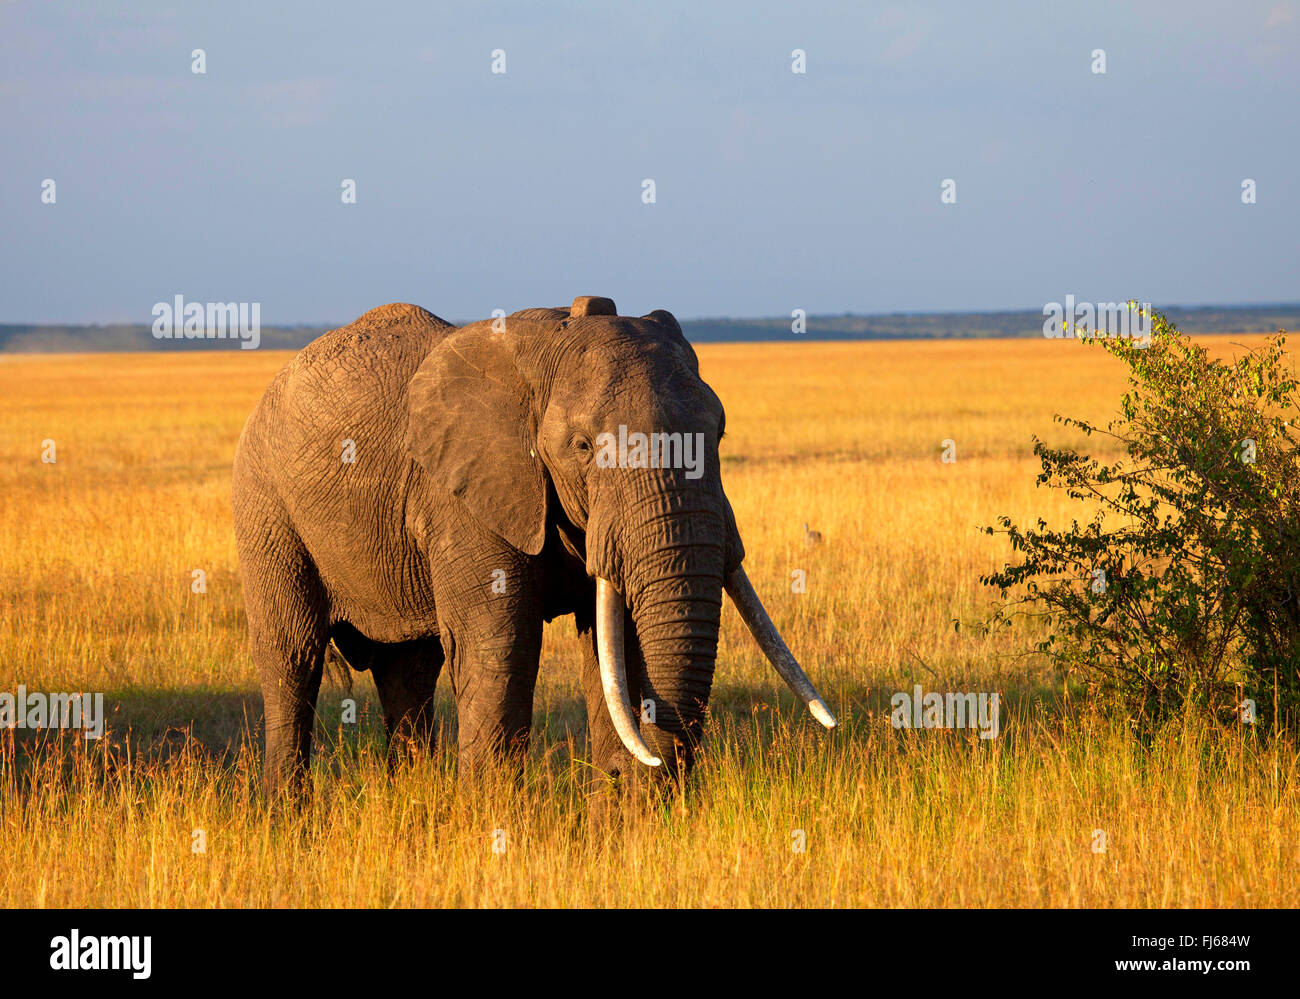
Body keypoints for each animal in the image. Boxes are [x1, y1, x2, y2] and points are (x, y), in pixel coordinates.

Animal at [232, 292, 832, 801]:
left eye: (720, 434)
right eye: (584, 446)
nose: (639, 777)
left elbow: (620, 646)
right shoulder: (461, 497)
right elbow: (501, 643)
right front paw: (492, 830)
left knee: (409, 668)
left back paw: (412, 802)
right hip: (264, 504)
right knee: (292, 656)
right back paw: (286, 817)